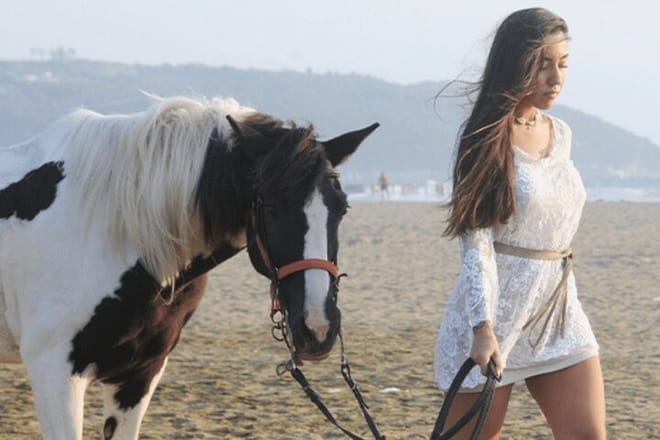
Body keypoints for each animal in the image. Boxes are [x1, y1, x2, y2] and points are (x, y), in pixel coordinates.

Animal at [0, 96, 378, 439]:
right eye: (270, 207)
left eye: (342, 208)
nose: (318, 327)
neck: (113, 228)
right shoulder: (55, 373)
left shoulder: (140, 374)